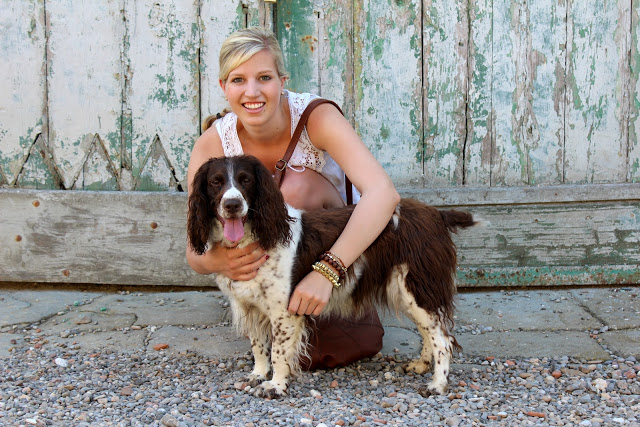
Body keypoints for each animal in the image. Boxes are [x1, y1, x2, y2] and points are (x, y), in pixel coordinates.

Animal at [186, 155, 476, 400]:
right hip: (410, 292)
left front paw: (275, 386)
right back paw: (421, 365)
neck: (256, 237)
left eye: (246, 179)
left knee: (444, 341)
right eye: (215, 182)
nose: (232, 205)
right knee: (430, 332)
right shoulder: (250, 306)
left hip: (418, 287)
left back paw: (437, 385)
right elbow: (259, 347)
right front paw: (258, 375)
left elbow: (278, 352)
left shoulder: (284, 312)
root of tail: (437, 214)